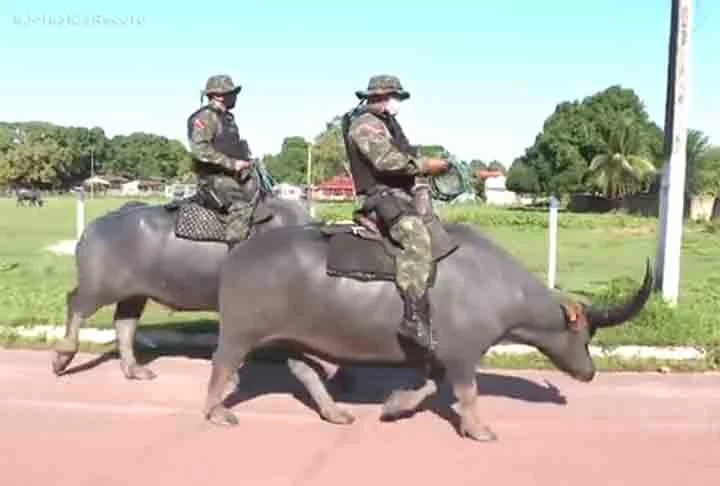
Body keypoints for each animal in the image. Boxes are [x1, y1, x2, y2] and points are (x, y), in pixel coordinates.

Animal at [49, 193, 310, 380]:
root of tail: (93, 228)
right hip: (100, 288)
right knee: (75, 304)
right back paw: (63, 356)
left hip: (134, 294)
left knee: (124, 323)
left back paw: (134, 369)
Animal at [202, 222, 652, 442]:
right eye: (586, 334)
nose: (589, 372)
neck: (495, 282)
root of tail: (238, 253)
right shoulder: (464, 355)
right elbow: (468, 393)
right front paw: (479, 430)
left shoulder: (439, 354)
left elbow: (429, 385)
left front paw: (394, 406)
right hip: (241, 332)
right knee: (222, 364)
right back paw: (216, 412)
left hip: (294, 336)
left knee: (304, 370)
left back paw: (334, 412)